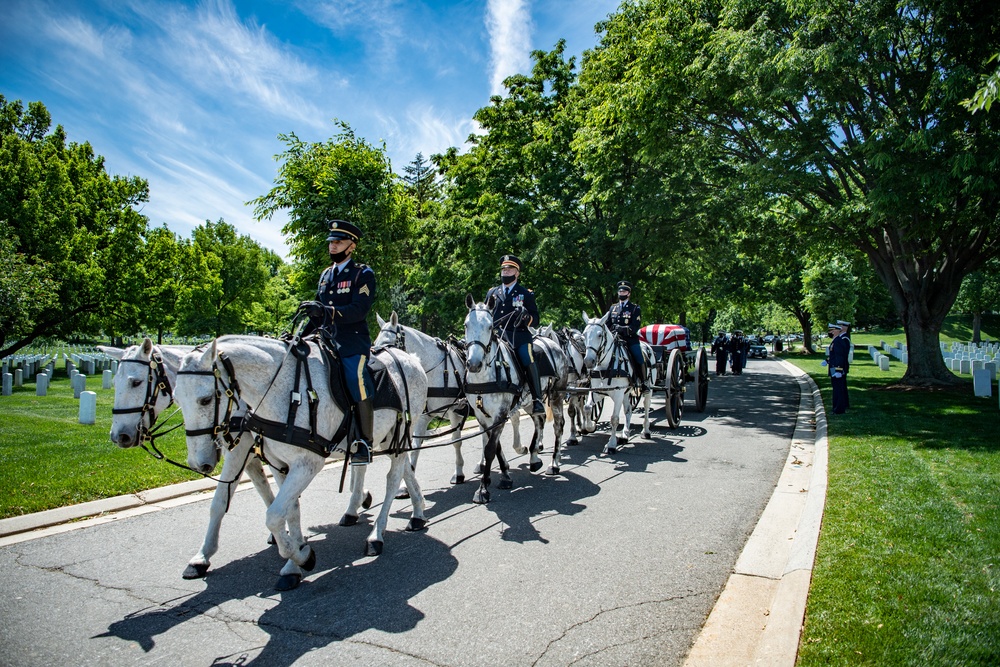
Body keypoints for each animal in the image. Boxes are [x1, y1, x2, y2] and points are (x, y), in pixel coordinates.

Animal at [103, 340, 296, 580]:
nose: (119, 436)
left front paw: (203, 556)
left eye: (136, 382)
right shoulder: (251, 453)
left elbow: (221, 501)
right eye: (114, 382)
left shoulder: (241, 450)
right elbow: (263, 490)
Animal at [174, 336, 428, 592]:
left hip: (401, 433)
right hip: (385, 437)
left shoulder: (306, 464)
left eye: (205, 400)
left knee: (393, 479)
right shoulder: (277, 462)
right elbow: (287, 509)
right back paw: (416, 511)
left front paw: (303, 557)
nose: (198, 463)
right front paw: (293, 563)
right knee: (403, 469)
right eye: (176, 399)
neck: (283, 391)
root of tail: (410, 358)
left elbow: (274, 514)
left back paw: (377, 534)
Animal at [376, 314, 476, 490]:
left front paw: (458, 473)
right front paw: (405, 485)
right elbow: (415, 447)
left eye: (388, 343)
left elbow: (456, 441)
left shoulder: (454, 411)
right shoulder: (423, 416)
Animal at [580, 312, 656, 454]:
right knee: (628, 410)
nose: (588, 361)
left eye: (600, 335)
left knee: (646, 406)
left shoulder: (618, 394)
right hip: (626, 393)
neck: (606, 365)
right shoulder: (597, 392)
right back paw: (625, 434)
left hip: (648, 388)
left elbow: (614, 419)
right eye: (584, 335)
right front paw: (590, 426)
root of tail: (647, 346)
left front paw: (611, 444)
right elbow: (587, 408)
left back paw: (646, 431)